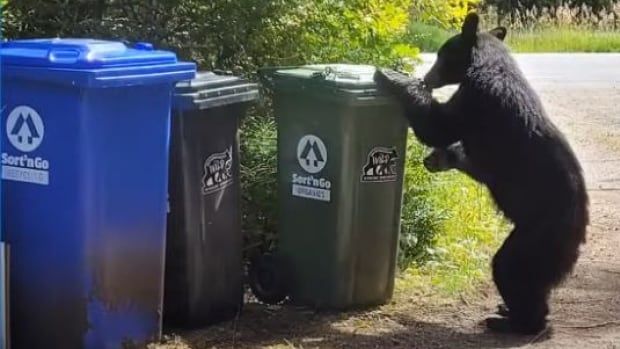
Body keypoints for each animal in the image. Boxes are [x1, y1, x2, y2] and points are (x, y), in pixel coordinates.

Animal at [376, 14, 588, 334]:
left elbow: (439, 124)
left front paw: (393, 76)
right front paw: (438, 157)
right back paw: (507, 311)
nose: (428, 77)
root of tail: (580, 231)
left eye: (441, 54)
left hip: (541, 232)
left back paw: (516, 321)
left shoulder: (479, 101)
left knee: (511, 268)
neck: (483, 66)